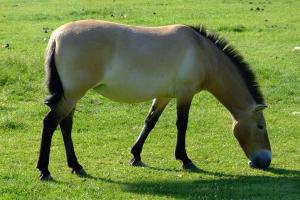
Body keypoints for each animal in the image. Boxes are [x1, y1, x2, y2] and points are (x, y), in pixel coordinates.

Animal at [37, 19, 272, 180]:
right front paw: (185, 159)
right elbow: (182, 124)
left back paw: (75, 166)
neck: (202, 52)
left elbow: (150, 122)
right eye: (260, 126)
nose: (266, 161)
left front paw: (136, 156)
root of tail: (56, 36)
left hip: (71, 96)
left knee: (65, 125)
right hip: (72, 95)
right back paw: (44, 170)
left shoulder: (164, 96)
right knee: (50, 123)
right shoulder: (185, 94)